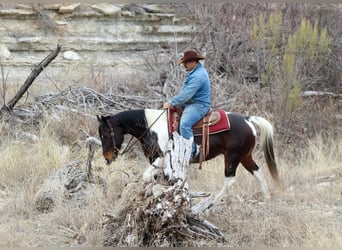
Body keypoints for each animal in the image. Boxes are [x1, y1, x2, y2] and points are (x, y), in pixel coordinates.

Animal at [96, 108, 280, 202]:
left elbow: (148, 176)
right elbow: (155, 178)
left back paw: (210, 202)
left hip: (232, 157)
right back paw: (267, 199)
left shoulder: (161, 157)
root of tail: (247, 120)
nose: (107, 158)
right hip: (245, 156)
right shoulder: (153, 158)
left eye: (106, 134)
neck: (151, 127)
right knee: (258, 172)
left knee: (230, 179)